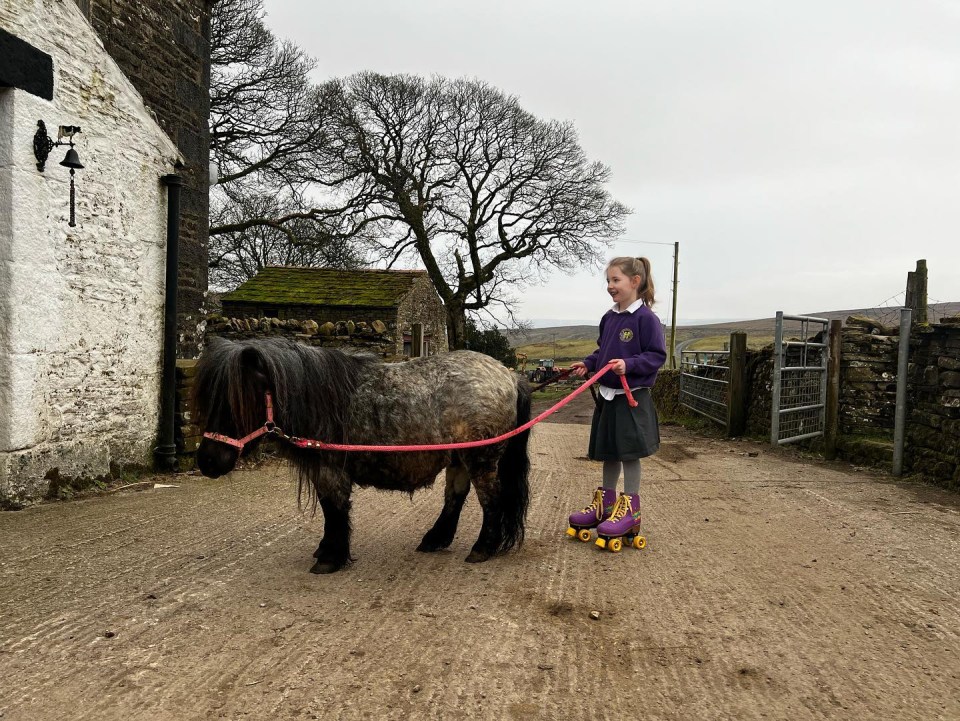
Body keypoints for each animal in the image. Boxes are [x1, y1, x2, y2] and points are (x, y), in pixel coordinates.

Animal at [193, 338, 532, 572]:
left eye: (236, 402)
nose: (206, 461)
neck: (320, 398)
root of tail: (508, 375)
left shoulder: (331, 470)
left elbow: (334, 511)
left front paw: (331, 557)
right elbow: (330, 510)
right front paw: (326, 550)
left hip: (482, 457)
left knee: (491, 499)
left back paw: (483, 548)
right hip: (459, 457)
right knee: (455, 497)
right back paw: (435, 539)